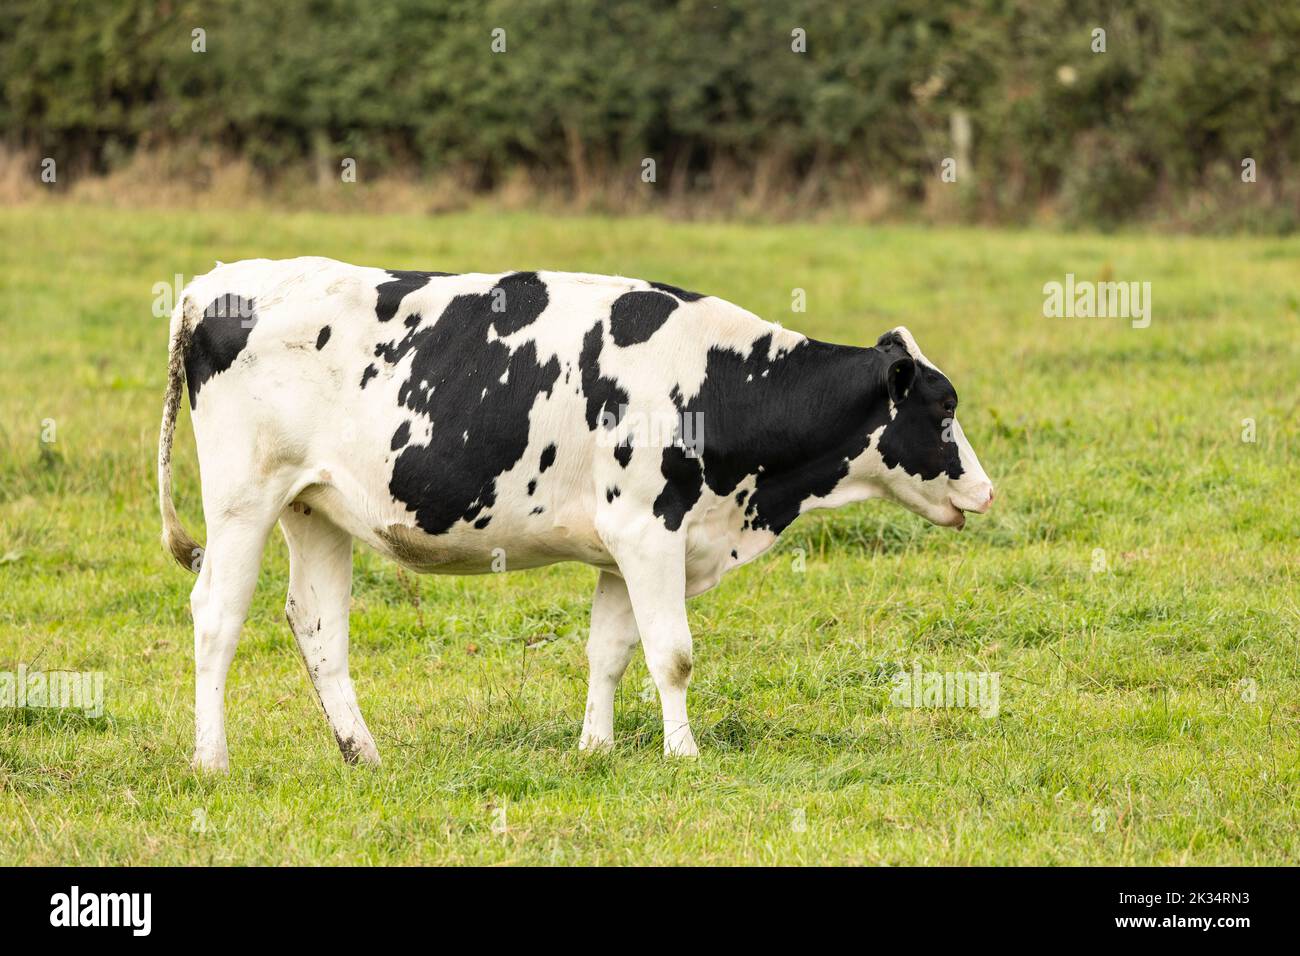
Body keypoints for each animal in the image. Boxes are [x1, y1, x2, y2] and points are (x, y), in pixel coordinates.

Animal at [157, 257, 994, 771]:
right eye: (945, 406)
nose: (987, 492)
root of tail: (215, 284)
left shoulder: (622, 546)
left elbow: (610, 652)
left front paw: (596, 749)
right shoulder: (649, 530)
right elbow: (672, 653)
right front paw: (683, 754)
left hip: (315, 507)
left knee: (318, 624)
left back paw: (364, 754)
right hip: (242, 501)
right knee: (216, 616)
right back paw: (212, 760)